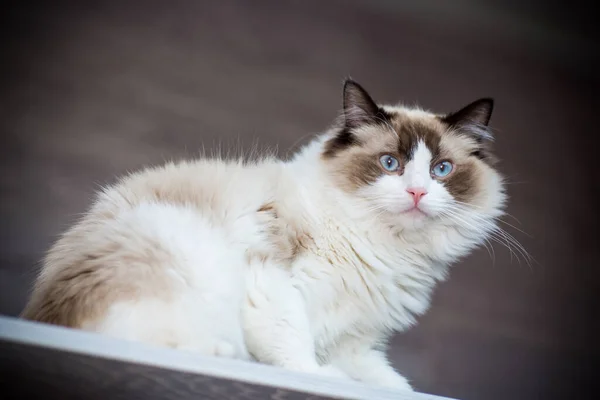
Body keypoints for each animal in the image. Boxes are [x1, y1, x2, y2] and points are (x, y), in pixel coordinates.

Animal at [21, 79, 506, 392]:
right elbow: (295, 344)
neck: (386, 246)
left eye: (441, 169)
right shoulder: (274, 282)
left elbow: (393, 385)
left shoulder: (355, 341)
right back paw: (223, 355)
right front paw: (322, 379)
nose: (418, 192)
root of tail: (41, 316)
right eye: (391, 164)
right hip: (184, 252)